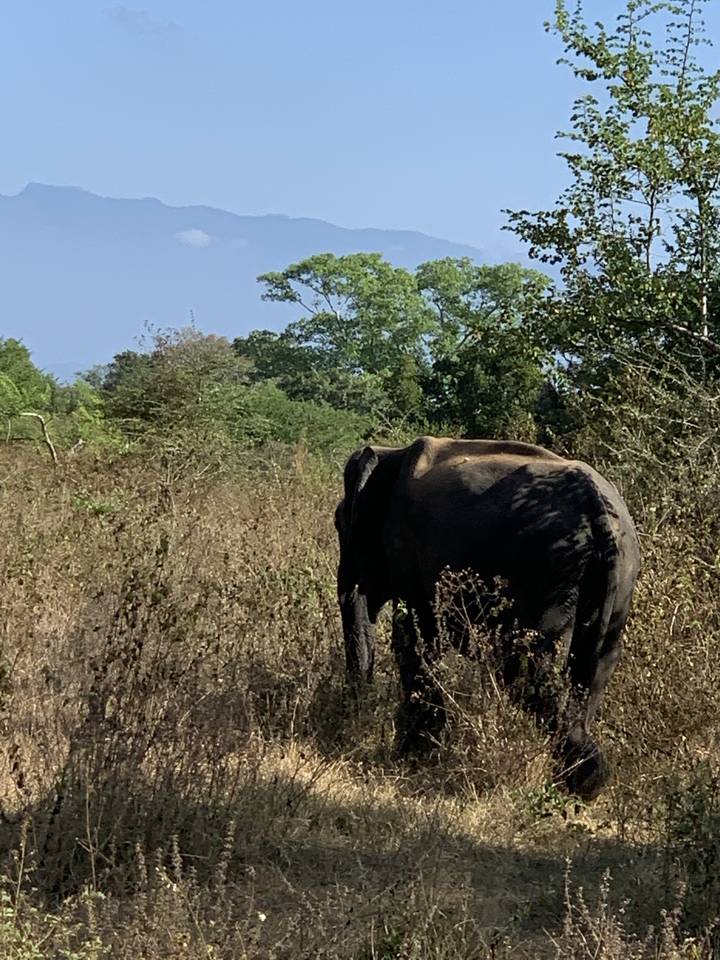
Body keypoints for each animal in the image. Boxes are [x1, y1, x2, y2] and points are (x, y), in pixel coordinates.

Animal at [335, 436, 641, 801]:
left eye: (338, 524)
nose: (354, 713)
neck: (391, 453)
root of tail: (599, 512)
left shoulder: (403, 545)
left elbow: (415, 637)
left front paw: (410, 756)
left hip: (545, 570)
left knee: (522, 670)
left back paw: (584, 781)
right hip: (616, 580)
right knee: (596, 663)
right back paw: (582, 782)